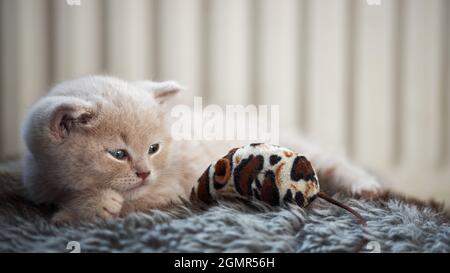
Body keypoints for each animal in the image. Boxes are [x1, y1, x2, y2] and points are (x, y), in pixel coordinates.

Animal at [20, 75, 380, 223]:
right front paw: (83, 205)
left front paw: (81, 210)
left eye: (153, 148)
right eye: (118, 154)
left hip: (307, 156)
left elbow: (132, 203)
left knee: (335, 164)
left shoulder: (168, 189)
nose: (144, 172)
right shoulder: (37, 182)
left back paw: (367, 187)